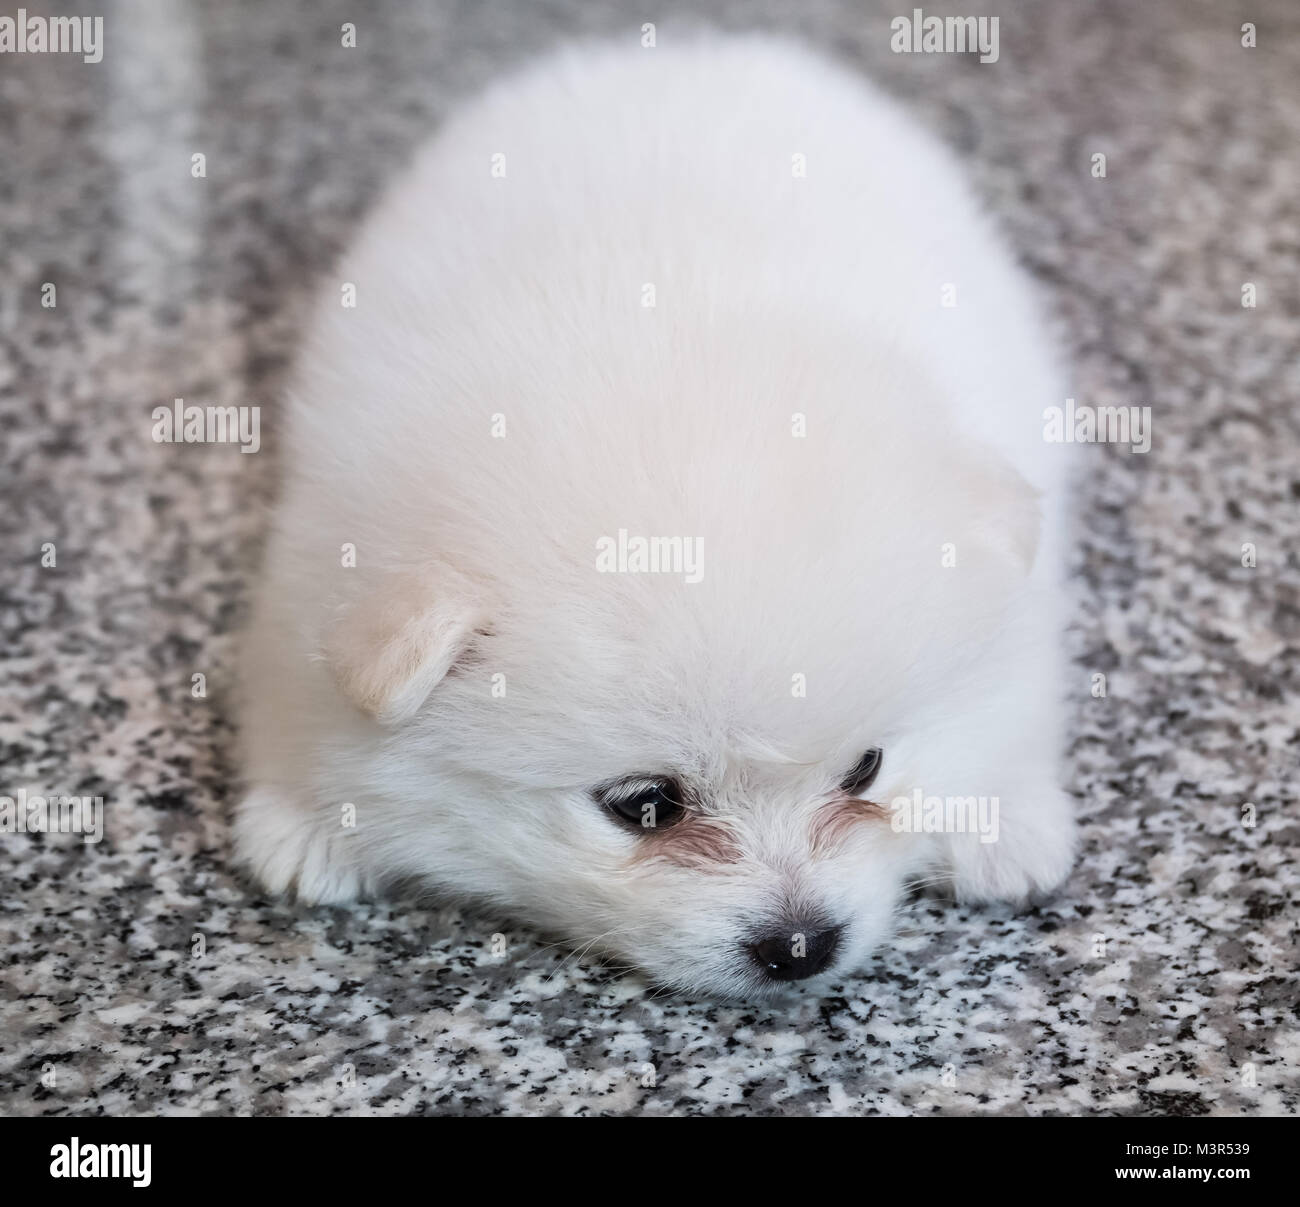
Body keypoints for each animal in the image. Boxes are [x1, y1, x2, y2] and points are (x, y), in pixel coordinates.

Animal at [236, 39, 1076, 998]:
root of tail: (686, 49)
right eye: (646, 804)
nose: (800, 945)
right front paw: (305, 820)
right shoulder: (311, 574)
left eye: (866, 767)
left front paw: (1007, 820)